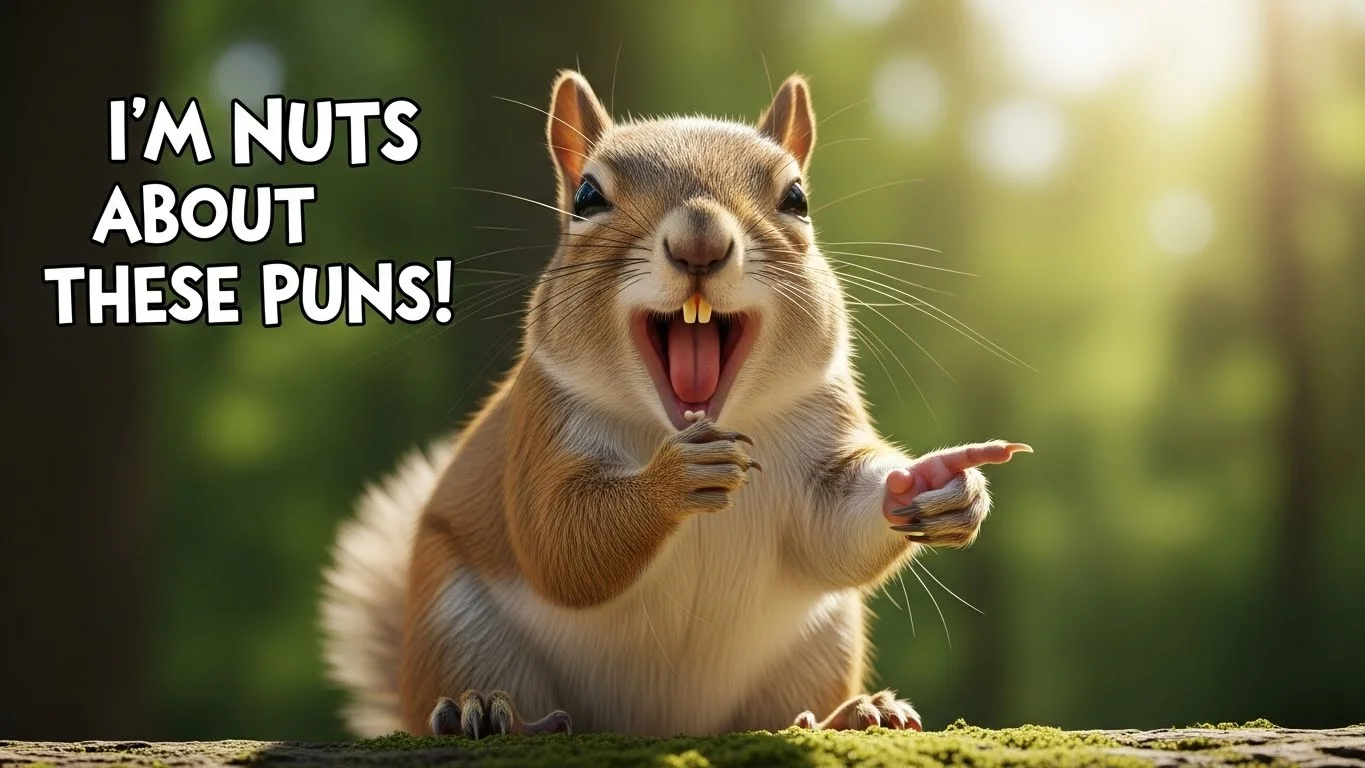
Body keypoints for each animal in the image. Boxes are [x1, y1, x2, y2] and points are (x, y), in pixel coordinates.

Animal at [319, 69, 1030, 739]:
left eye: (796, 197)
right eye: (587, 197)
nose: (700, 244)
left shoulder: (820, 436)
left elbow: (830, 528)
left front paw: (938, 483)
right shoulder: (541, 429)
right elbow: (559, 540)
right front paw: (672, 479)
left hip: (820, 644)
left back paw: (854, 713)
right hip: (454, 622)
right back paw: (490, 711)